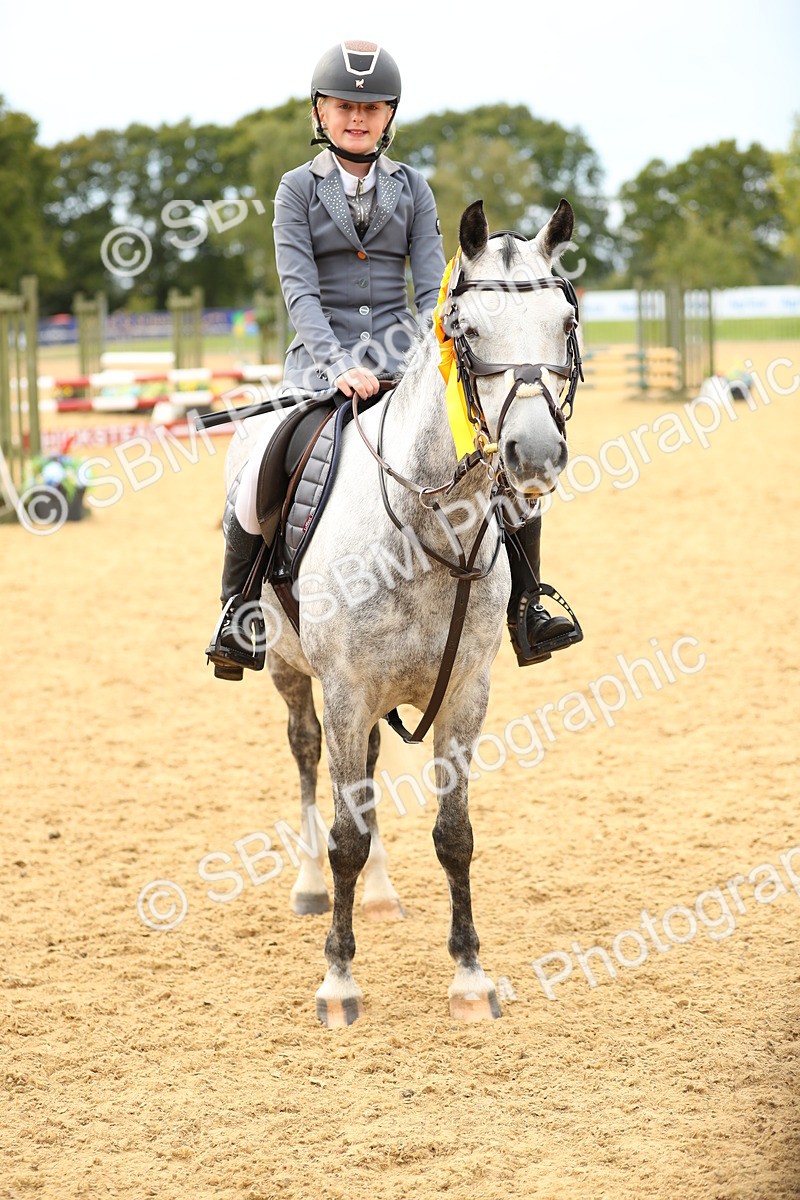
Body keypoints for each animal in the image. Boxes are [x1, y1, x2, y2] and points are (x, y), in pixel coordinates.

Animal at [223, 197, 579, 1026]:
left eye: (565, 321)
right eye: (467, 330)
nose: (535, 454)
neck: (426, 531)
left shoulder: (466, 693)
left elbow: (454, 835)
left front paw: (471, 978)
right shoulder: (347, 691)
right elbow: (346, 834)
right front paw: (338, 982)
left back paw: (381, 897)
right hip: (289, 670)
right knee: (307, 757)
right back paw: (311, 886)